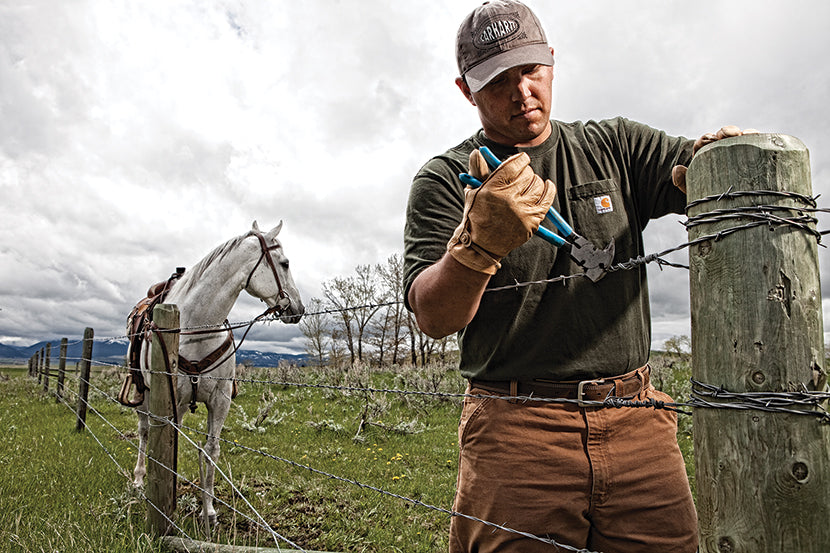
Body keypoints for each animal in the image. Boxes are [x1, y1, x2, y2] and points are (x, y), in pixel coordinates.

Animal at [132, 221, 308, 528]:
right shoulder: (171, 397)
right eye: (285, 263)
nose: (298, 308)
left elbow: (211, 450)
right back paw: (140, 479)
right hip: (145, 395)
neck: (196, 327)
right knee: (144, 431)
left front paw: (209, 510)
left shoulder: (220, 399)